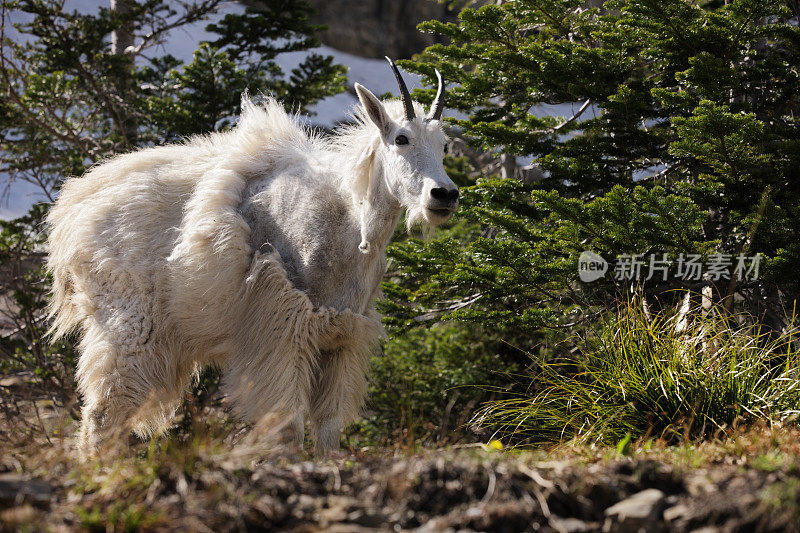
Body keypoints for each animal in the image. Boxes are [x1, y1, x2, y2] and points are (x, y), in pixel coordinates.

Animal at [47, 60, 456, 456]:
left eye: (446, 145)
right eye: (401, 138)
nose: (444, 195)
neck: (353, 229)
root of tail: (70, 218)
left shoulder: (342, 336)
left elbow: (329, 430)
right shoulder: (284, 325)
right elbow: (289, 425)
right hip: (128, 326)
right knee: (102, 416)